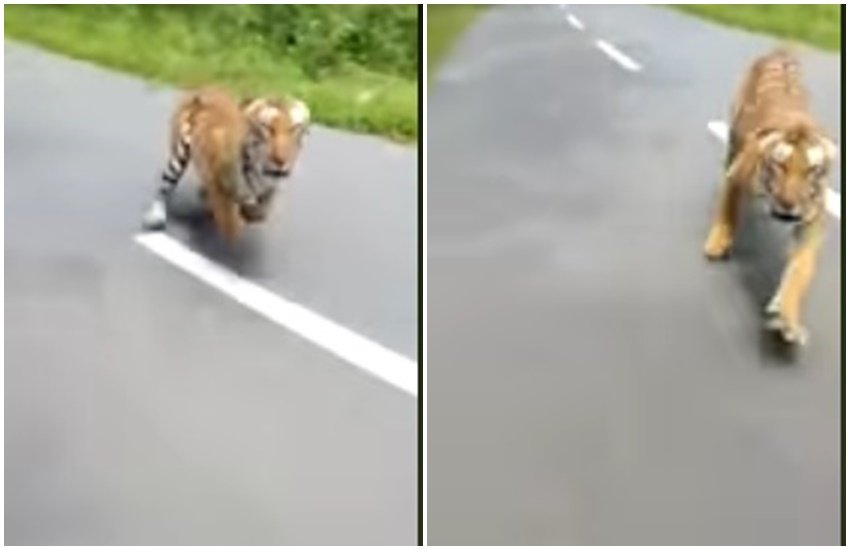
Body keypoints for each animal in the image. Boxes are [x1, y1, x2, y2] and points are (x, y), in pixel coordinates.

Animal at [141, 87, 310, 240]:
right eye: (267, 128)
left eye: (293, 129)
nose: (281, 161)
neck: (258, 171)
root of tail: (205, 89)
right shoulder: (217, 179)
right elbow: (231, 222)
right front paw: (237, 215)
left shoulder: (271, 189)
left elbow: (261, 212)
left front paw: (251, 210)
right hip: (179, 155)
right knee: (164, 188)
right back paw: (157, 216)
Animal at [703, 48, 837, 346]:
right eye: (780, 165)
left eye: (811, 170)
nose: (788, 205)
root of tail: (781, 49)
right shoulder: (736, 177)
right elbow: (728, 212)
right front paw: (717, 244)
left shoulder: (811, 223)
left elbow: (799, 272)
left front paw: (788, 321)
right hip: (734, 135)